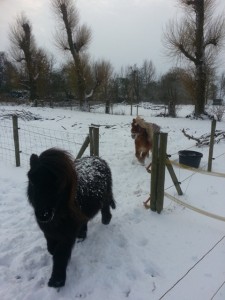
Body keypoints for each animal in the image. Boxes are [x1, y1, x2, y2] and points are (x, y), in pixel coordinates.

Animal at [27, 148, 116, 288]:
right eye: (31, 181)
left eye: (58, 183)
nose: (43, 214)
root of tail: (97, 158)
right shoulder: (48, 231)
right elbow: (51, 248)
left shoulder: (67, 235)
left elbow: (60, 254)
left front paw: (57, 281)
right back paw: (81, 235)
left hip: (105, 196)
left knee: (105, 207)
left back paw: (106, 220)